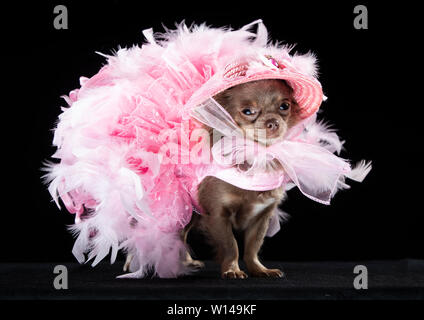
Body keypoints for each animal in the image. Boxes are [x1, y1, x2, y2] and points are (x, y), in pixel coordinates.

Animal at [184, 80, 300, 280]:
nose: (273, 122)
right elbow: (231, 245)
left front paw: (259, 269)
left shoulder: (262, 216)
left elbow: (253, 247)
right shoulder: (218, 214)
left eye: (284, 106)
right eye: (248, 111)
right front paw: (232, 269)